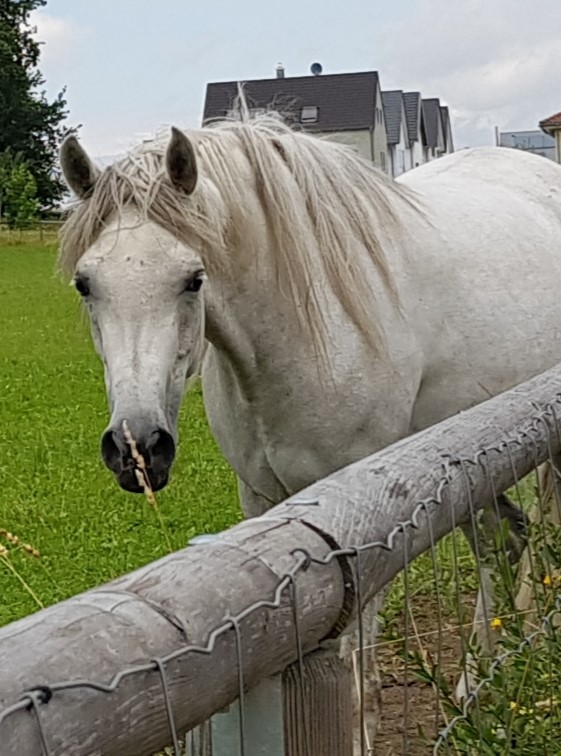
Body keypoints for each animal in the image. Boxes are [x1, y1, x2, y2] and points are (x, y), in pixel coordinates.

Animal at [59, 113, 561, 750]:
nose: (138, 448)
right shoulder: (264, 502)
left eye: (194, 279)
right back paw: (478, 690)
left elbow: (359, 664)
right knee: (504, 544)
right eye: (85, 284)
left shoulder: (365, 525)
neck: (305, 330)